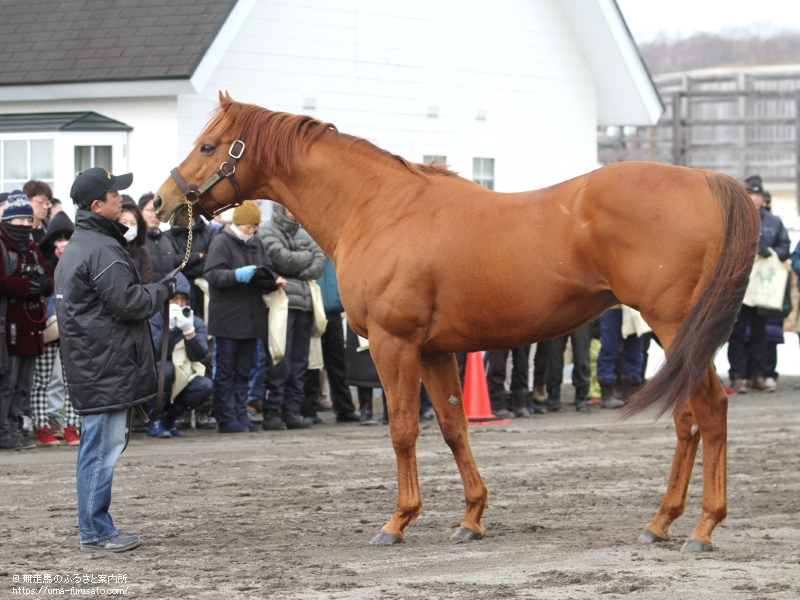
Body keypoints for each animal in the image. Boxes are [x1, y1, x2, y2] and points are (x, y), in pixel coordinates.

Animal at [153, 95, 760, 552]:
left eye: (208, 145)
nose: (160, 203)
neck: (378, 206)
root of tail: (709, 181)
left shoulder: (395, 344)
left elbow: (402, 430)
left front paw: (397, 521)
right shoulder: (434, 350)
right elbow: (452, 427)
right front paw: (471, 518)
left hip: (675, 325)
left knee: (710, 409)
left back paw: (702, 528)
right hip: (678, 336)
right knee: (688, 418)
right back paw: (662, 521)